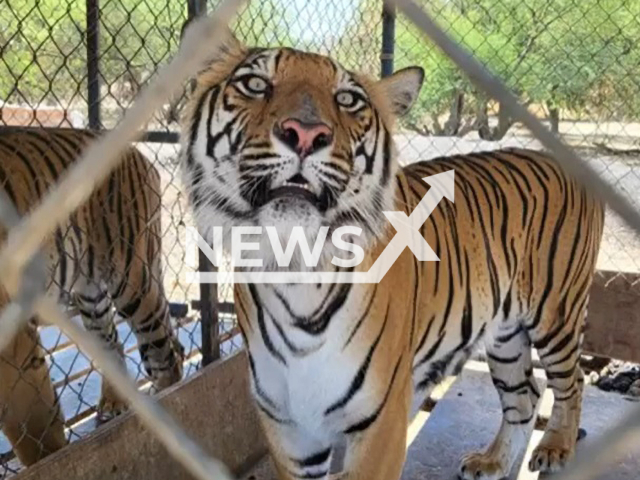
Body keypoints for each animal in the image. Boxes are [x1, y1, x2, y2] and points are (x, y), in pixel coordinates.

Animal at [0, 126, 185, 464]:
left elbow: (37, 439)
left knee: (164, 353)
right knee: (114, 344)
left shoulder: (13, 349)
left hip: (134, 283)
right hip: (92, 295)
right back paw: (114, 404)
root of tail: (137, 154)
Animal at [179, 29, 604, 480]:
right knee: (525, 395)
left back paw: (555, 448)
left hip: (556, 313)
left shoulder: (380, 423)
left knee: (571, 382)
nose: (306, 134)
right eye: (256, 84)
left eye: (348, 99)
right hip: (506, 332)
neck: (296, 269)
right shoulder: (289, 431)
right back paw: (493, 461)